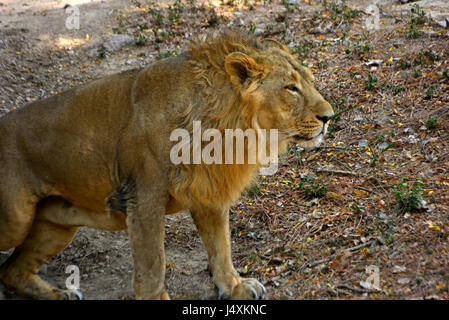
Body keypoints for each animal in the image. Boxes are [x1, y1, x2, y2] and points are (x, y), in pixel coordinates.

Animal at [0, 31, 332, 298]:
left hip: (56, 225)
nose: (329, 117)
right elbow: (152, 264)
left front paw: (235, 286)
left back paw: (60, 294)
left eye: (310, 82)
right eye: (291, 88)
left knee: (11, 270)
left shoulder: (209, 192)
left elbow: (221, 247)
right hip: (15, 221)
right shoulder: (143, 197)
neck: (229, 130)